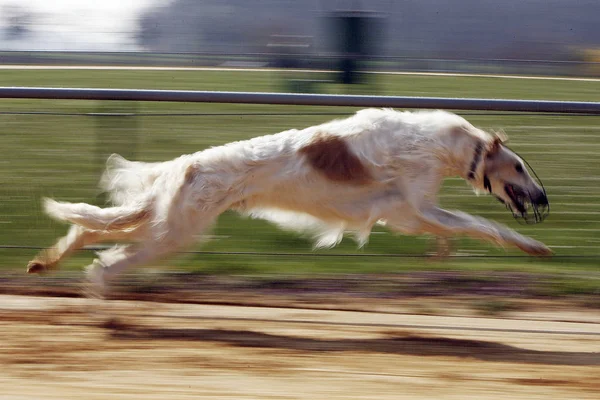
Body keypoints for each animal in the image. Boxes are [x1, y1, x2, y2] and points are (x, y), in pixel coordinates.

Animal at [29, 108, 552, 292]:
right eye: (520, 168)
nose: (544, 197)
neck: (442, 143)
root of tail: (182, 165)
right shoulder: (410, 209)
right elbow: (478, 224)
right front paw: (531, 247)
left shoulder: (412, 212)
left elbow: (457, 229)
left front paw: (443, 255)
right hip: (175, 233)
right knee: (107, 261)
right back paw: (101, 299)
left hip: (166, 224)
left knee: (88, 230)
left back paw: (45, 262)